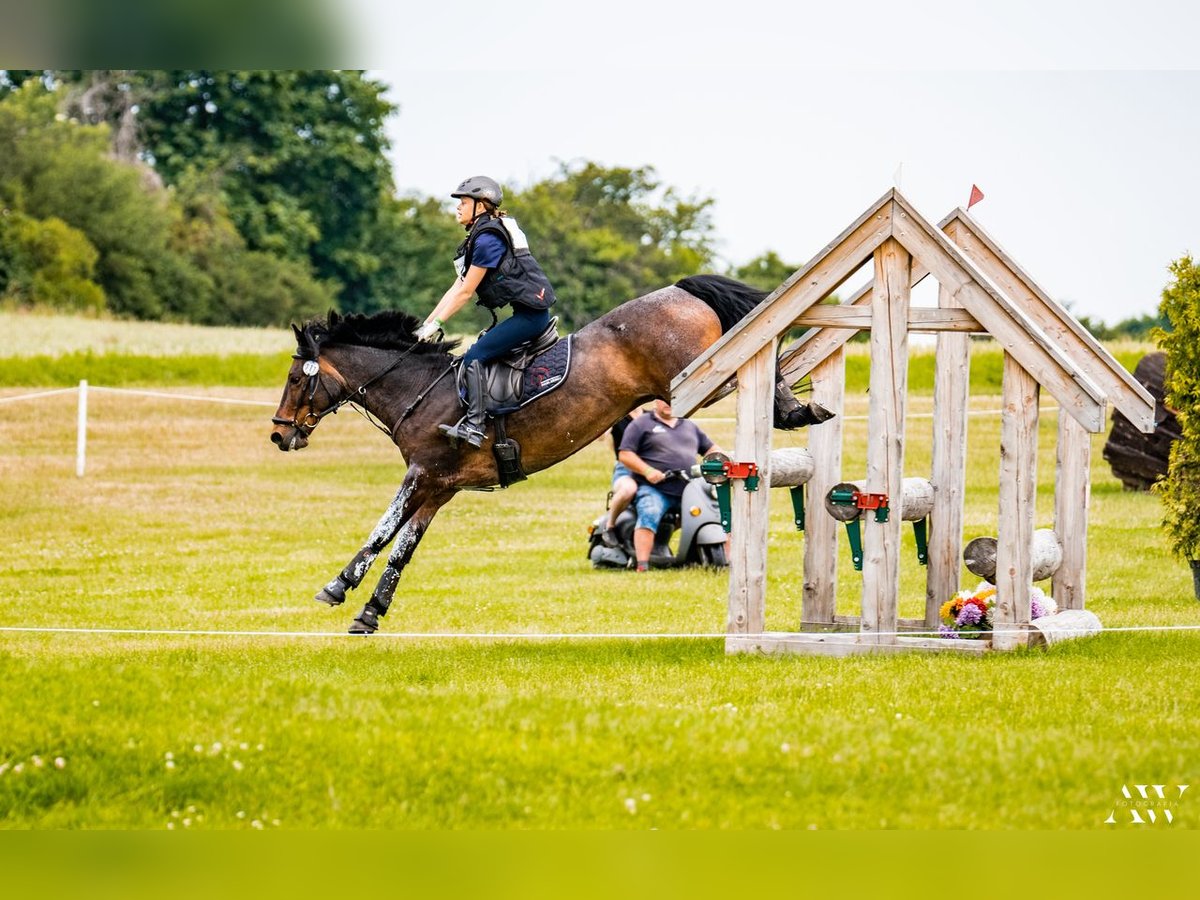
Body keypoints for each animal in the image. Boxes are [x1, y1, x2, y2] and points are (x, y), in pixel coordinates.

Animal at [267, 274, 830, 633]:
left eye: (295, 378)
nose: (279, 435)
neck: (420, 389)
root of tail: (680, 288)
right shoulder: (441, 486)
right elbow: (404, 547)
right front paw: (370, 612)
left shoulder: (423, 472)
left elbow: (382, 532)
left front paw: (337, 587)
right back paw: (801, 410)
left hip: (699, 376)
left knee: (752, 362)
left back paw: (792, 404)